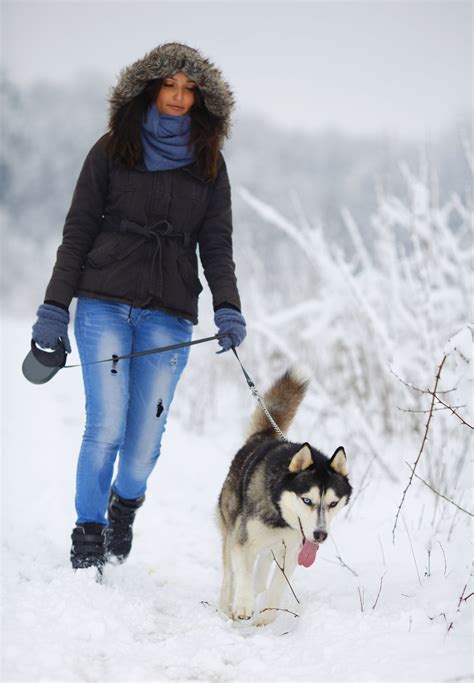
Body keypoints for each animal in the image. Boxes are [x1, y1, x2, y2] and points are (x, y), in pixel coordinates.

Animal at [218, 368, 352, 624]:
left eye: (333, 503)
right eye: (307, 500)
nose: (320, 535)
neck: (280, 514)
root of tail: (262, 437)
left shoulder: (293, 550)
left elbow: (279, 584)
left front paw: (267, 618)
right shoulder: (242, 541)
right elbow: (243, 571)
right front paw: (243, 605)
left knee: (263, 564)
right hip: (231, 525)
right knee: (230, 573)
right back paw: (226, 604)